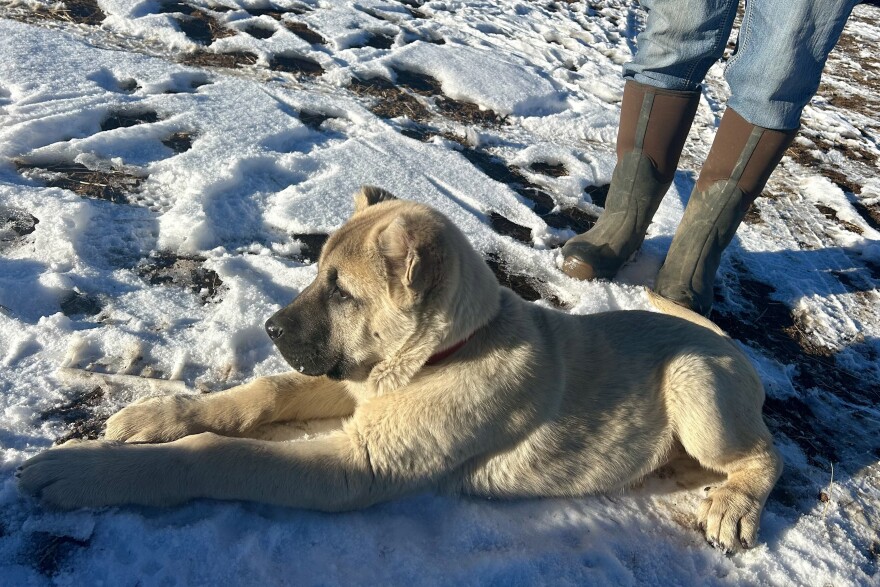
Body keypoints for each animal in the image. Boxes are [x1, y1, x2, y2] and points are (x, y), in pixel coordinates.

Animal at [17, 187, 780, 552]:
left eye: (342, 292)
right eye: (315, 274)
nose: (270, 328)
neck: (444, 352)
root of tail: (729, 345)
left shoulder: (360, 464)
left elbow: (223, 453)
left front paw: (87, 470)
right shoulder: (347, 381)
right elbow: (261, 394)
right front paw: (156, 413)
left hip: (696, 386)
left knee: (766, 456)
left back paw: (733, 505)